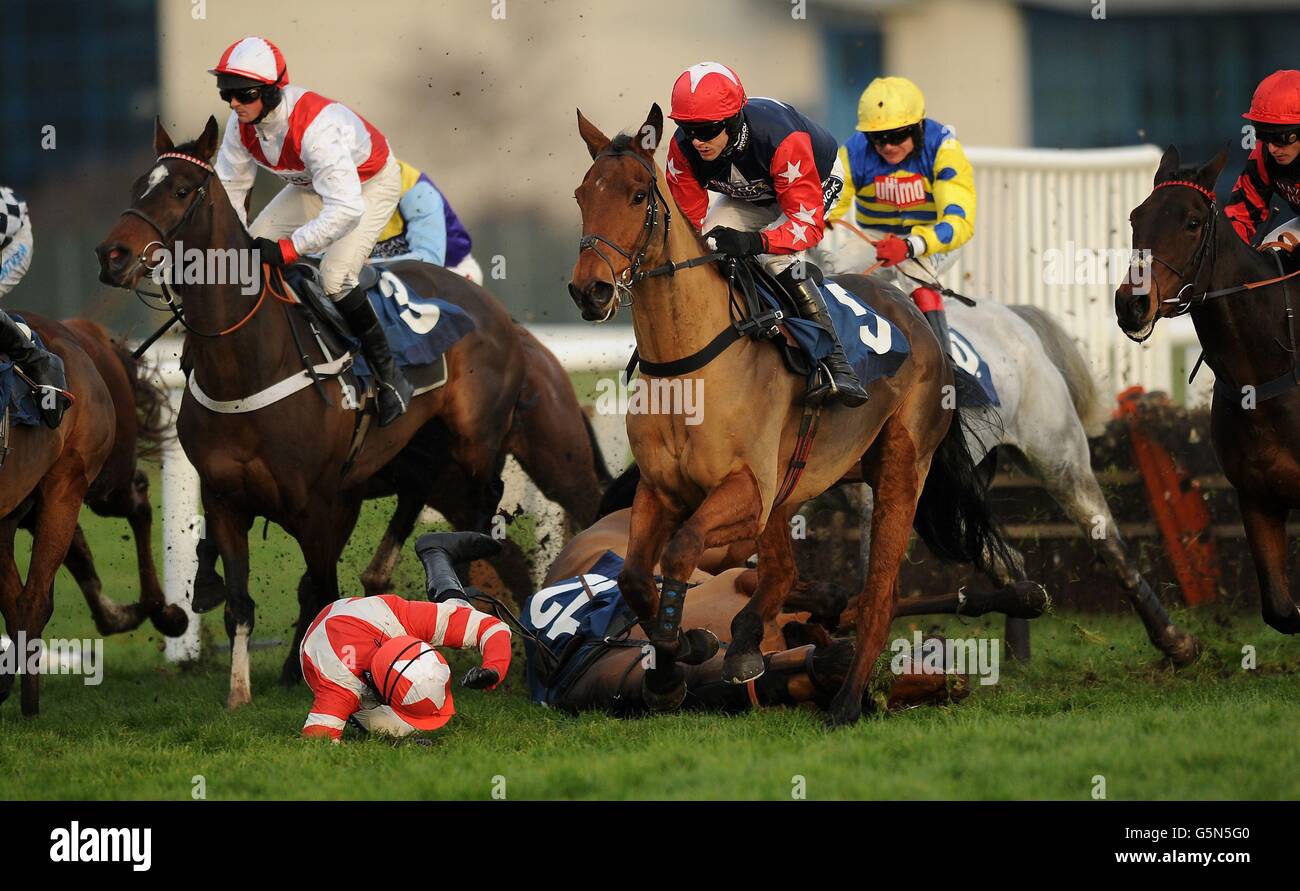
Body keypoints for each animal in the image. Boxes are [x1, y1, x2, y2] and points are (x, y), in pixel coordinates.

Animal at [569, 104, 1003, 723]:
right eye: (583, 194)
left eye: (635, 195)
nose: (590, 291)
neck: (688, 364)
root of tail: (917, 317)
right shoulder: (660, 489)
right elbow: (631, 578)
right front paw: (673, 668)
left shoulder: (746, 490)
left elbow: (682, 549)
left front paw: (687, 643)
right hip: (799, 480)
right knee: (781, 571)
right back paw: (750, 641)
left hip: (899, 468)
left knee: (880, 593)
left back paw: (844, 701)